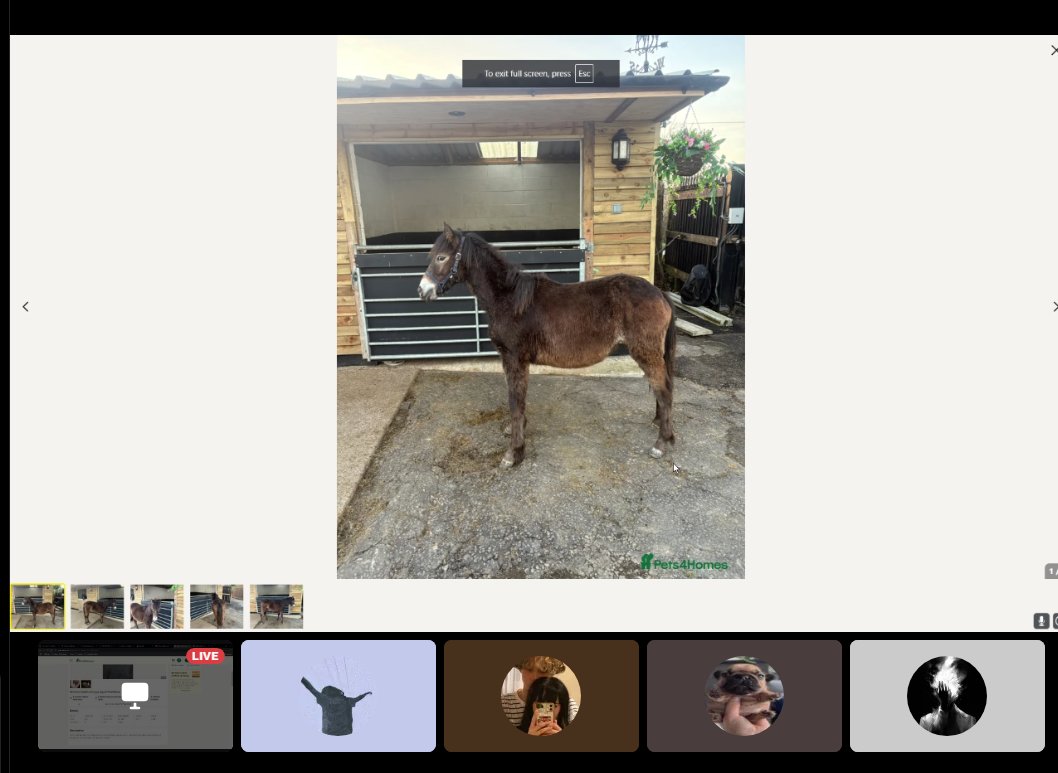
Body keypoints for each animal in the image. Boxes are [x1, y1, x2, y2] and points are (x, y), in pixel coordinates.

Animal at [418, 224, 677, 468]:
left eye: (441, 257)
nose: (422, 290)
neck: (509, 299)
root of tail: (659, 292)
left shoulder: (515, 358)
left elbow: (515, 401)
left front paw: (514, 453)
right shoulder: (510, 360)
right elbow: (517, 399)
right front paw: (516, 431)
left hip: (646, 353)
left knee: (664, 390)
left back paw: (661, 443)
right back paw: (658, 424)